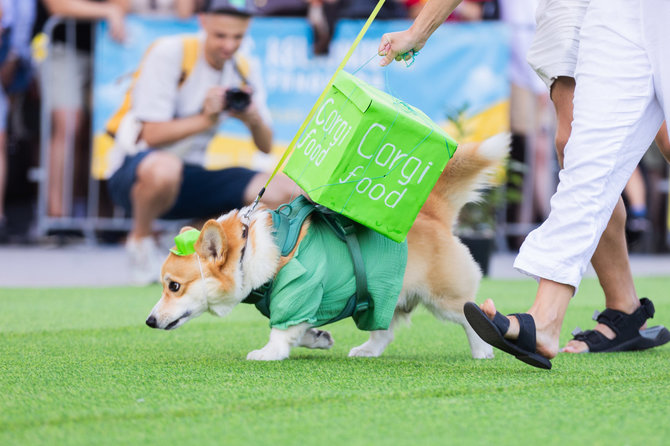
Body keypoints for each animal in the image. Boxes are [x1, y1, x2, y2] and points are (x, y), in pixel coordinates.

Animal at [147, 134, 512, 360]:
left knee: (471, 315)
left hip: (443, 298)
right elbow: (300, 327)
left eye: (174, 286)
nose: (149, 322)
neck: (248, 248)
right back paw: (366, 350)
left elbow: (281, 329)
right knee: (384, 330)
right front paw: (317, 338)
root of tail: (432, 213)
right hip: (381, 295)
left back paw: (482, 351)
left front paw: (268, 353)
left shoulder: (298, 289)